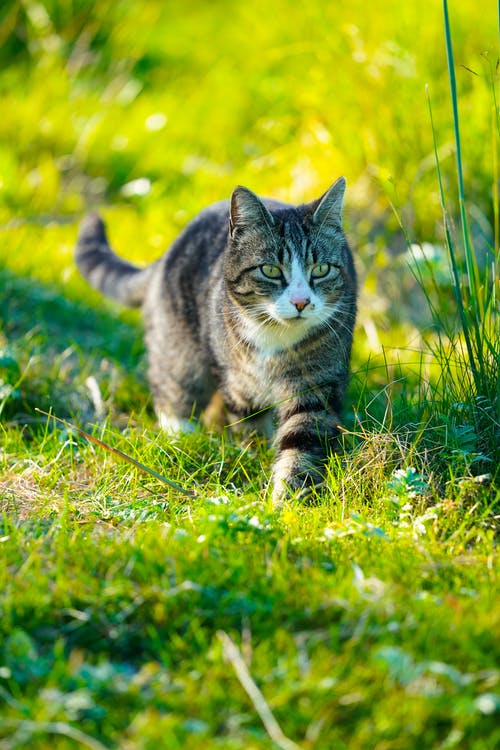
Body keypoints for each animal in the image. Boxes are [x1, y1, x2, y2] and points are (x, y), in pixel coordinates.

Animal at [74, 177, 358, 506]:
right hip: (180, 346)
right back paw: (181, 432)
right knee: (170, 381)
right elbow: (250, 427)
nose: (301, 302)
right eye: (270, 270)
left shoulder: (315, 383)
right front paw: (255, 459)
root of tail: (169, 251)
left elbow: (303, 437)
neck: (275, 337)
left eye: (321, 269)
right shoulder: (239, 384)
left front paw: (287, 500)